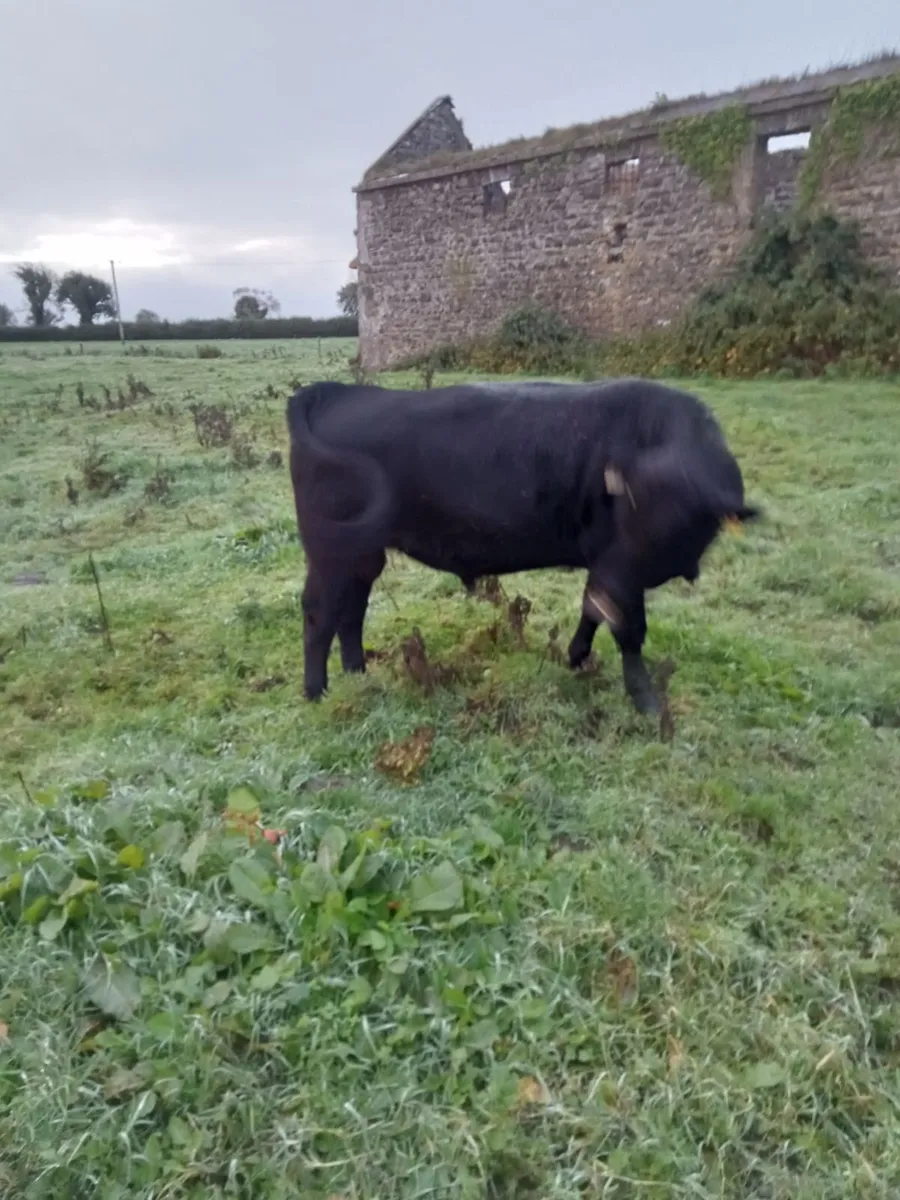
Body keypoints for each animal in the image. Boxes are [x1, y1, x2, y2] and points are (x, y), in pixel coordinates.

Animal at [285, 376, 759, 714]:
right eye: (633, 500)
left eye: (675, 510)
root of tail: (332, 392)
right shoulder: (617, 569)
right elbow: (628, 630)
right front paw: (647, 704)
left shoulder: (609, 568)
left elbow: (592, 612)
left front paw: (576, 657)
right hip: (332, 553)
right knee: (319, 615)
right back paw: (316, 692)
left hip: (362, 557)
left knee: (351, 612)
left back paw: (358, 674)